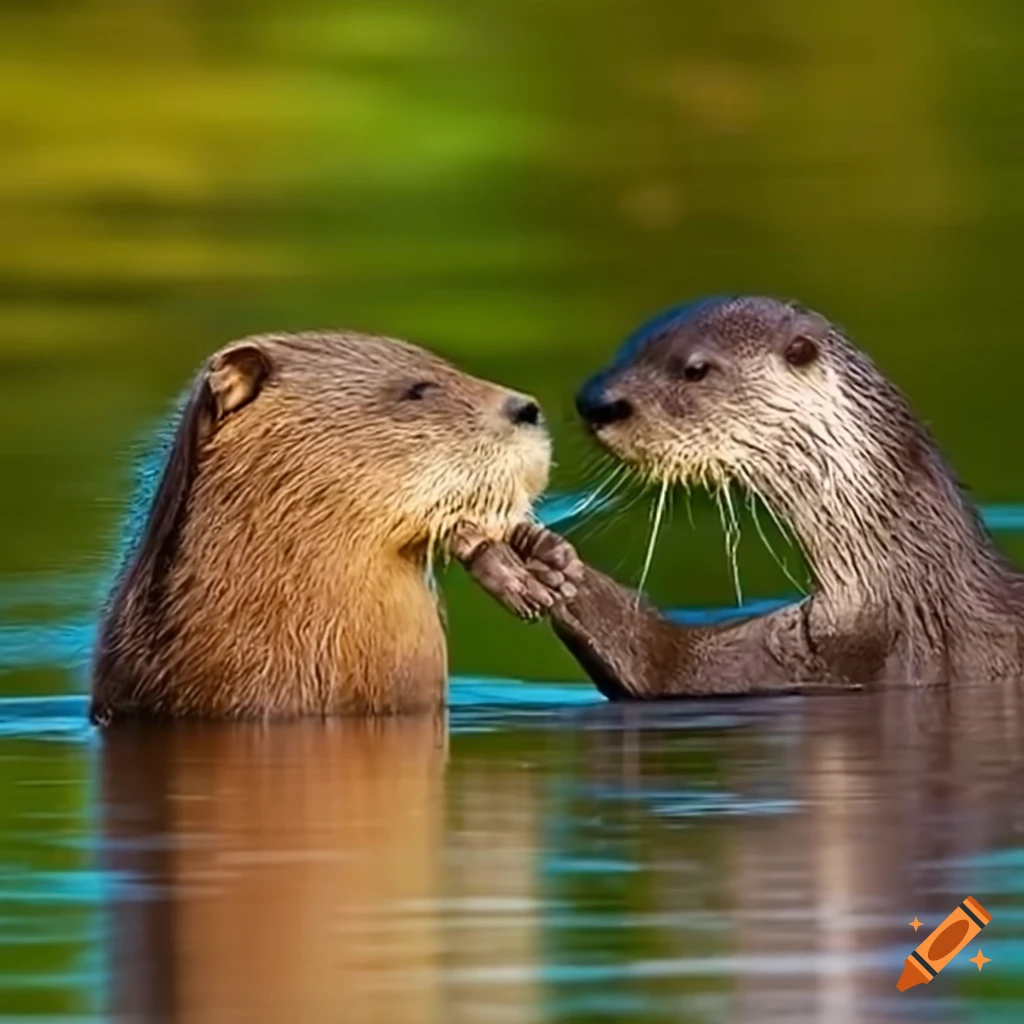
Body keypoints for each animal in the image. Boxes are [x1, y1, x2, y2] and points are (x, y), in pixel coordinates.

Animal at [470, 296, 1024, 697]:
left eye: (695, 369)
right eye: (625, 350)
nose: (596, 401)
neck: (909, 580)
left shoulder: (839, 658)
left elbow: (661, 668)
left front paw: (549, 561)